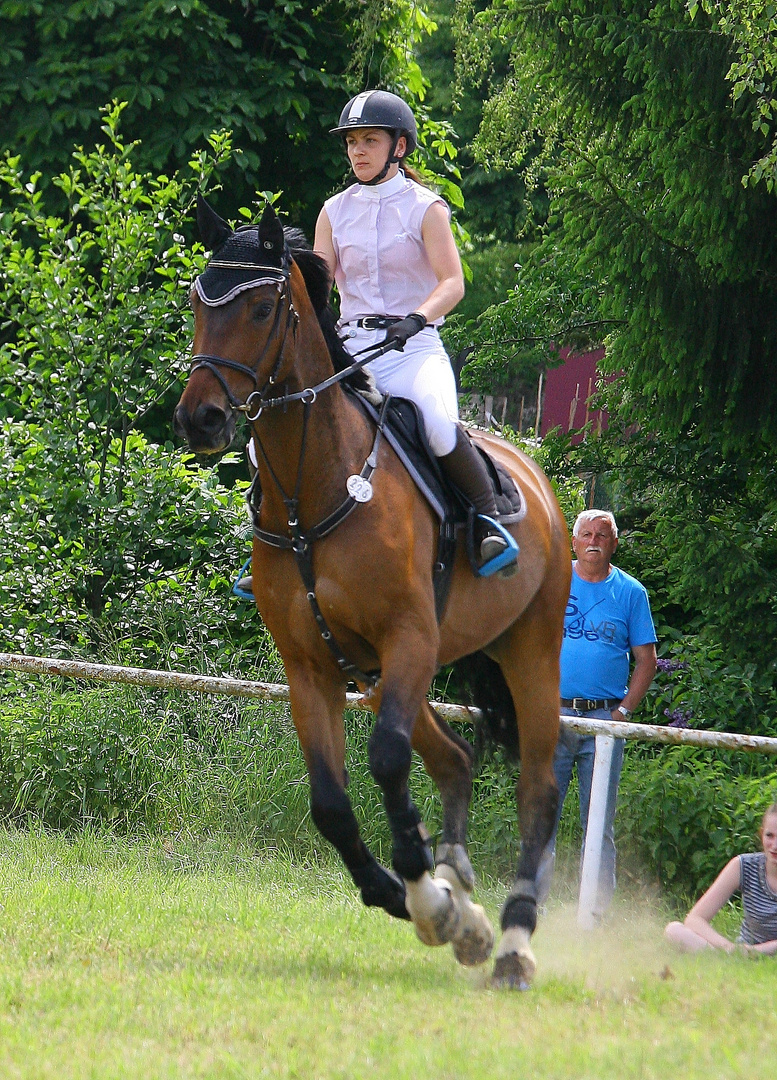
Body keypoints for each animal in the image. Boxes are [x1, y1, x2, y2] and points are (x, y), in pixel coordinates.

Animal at [172, 194, 566, 989]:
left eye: (261, 309)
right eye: (198, 303)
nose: (199, 418)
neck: (316, 488)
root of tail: (537, 477)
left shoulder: (408, 637)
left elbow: (385, 761)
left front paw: (430, 899)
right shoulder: (311, 667)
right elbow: (330, 803)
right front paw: (423, 902)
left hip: (526, 652)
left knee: (536, 786)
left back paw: (511, 939)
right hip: (382, 673)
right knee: (454, 757)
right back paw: (464, 891)